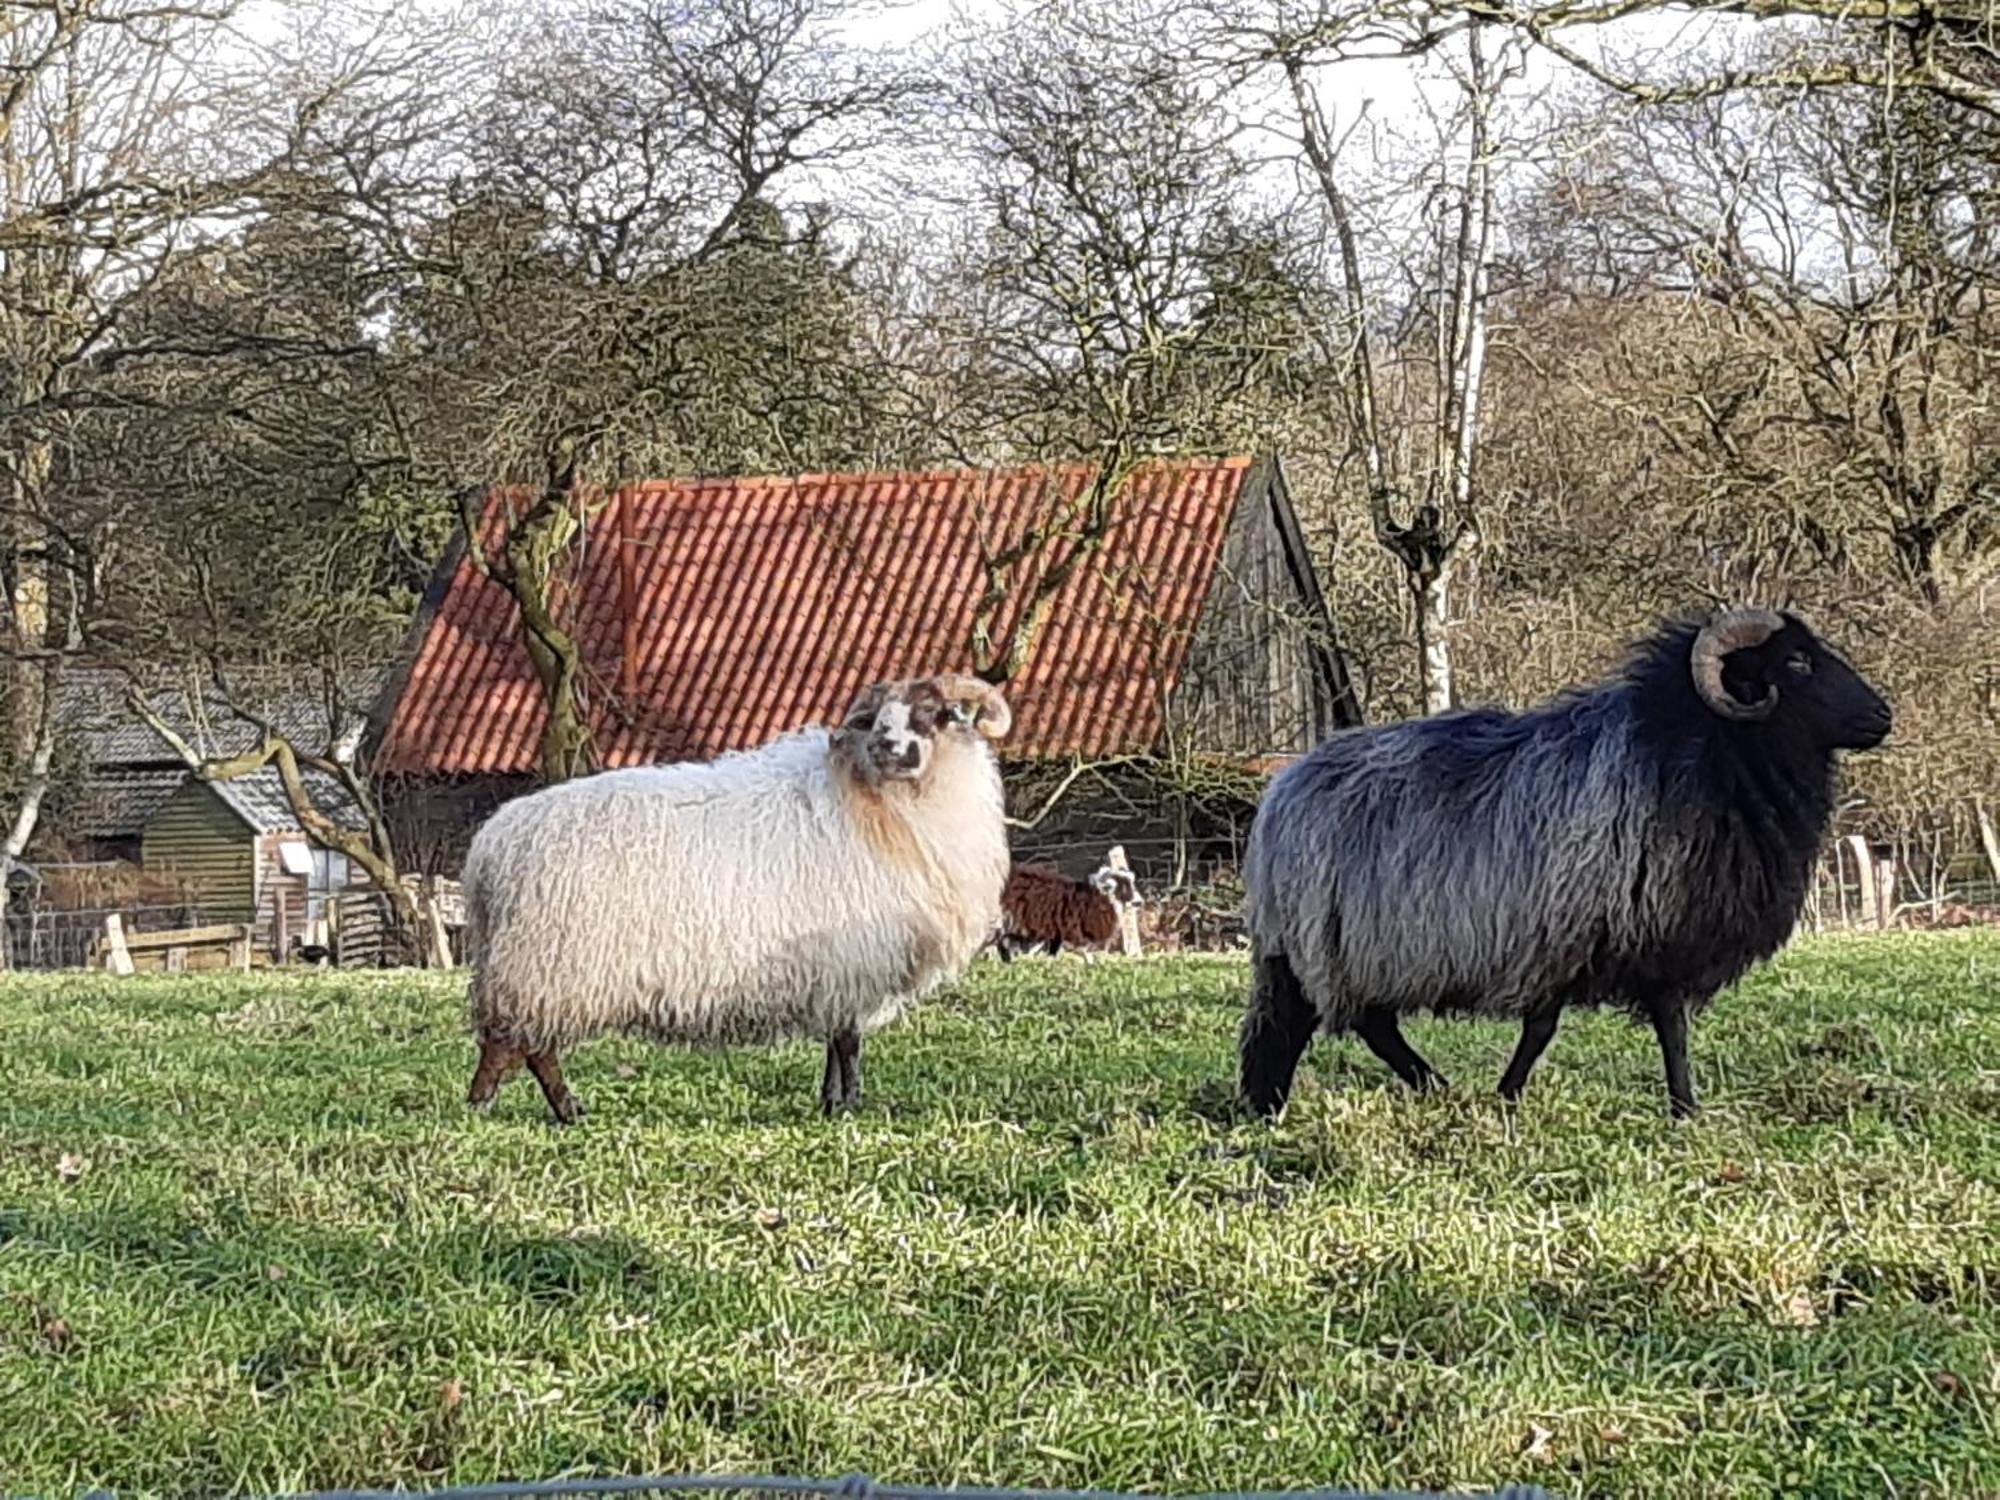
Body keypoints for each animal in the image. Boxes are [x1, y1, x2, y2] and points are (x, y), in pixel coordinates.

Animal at [458, 676, 1008, 1120]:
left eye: (930, 711)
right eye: (876, 717)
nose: (885, 744)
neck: (882, 802)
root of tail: (491, 847)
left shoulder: (837, 969)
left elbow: (836, 1042)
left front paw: (831, 1102)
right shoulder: (853, 961)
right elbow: (848, 1042)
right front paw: (849, 1105)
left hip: (536, 967)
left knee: (528, 1046)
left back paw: (562, 1109)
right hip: (544, 967)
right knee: (514, 1044)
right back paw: (499, 1104)